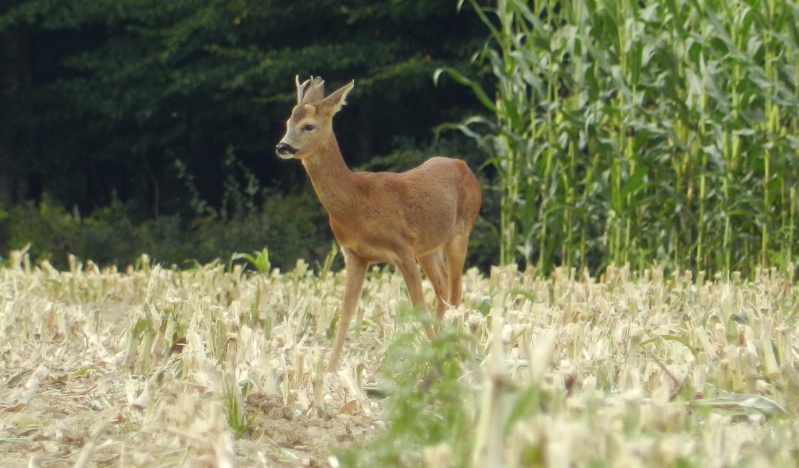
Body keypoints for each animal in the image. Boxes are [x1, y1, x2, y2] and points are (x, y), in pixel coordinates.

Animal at [276, 77, 482, 372]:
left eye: (309, 125)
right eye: (288, 122)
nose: (282, 147)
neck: (357, 202)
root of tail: (464, 166)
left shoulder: (402, 247)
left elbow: (418, 305)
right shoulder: (354, 254)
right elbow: (345, 312)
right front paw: (328, 372)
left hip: (460, 232)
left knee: (455, 291)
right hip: (428, 247)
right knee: (442, 286)